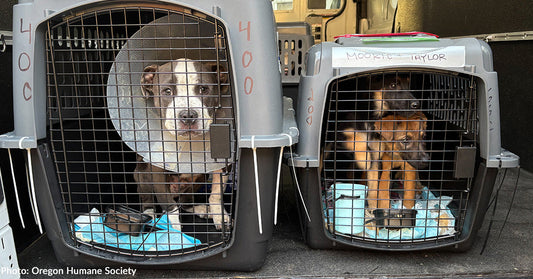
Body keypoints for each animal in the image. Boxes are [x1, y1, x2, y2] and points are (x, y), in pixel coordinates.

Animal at [134, 58, 230, 232]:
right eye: (167, 91)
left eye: (203, 89)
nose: (188, 115)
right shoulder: (157, 173)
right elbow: (170, 206)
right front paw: (175, 233)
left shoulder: (221, 164)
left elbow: (216, 194)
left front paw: (220, 217)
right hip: (141, 175)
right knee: (148, 199)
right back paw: (148, 215)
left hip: (198, 179)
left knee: (185, 202)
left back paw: (202, 209)